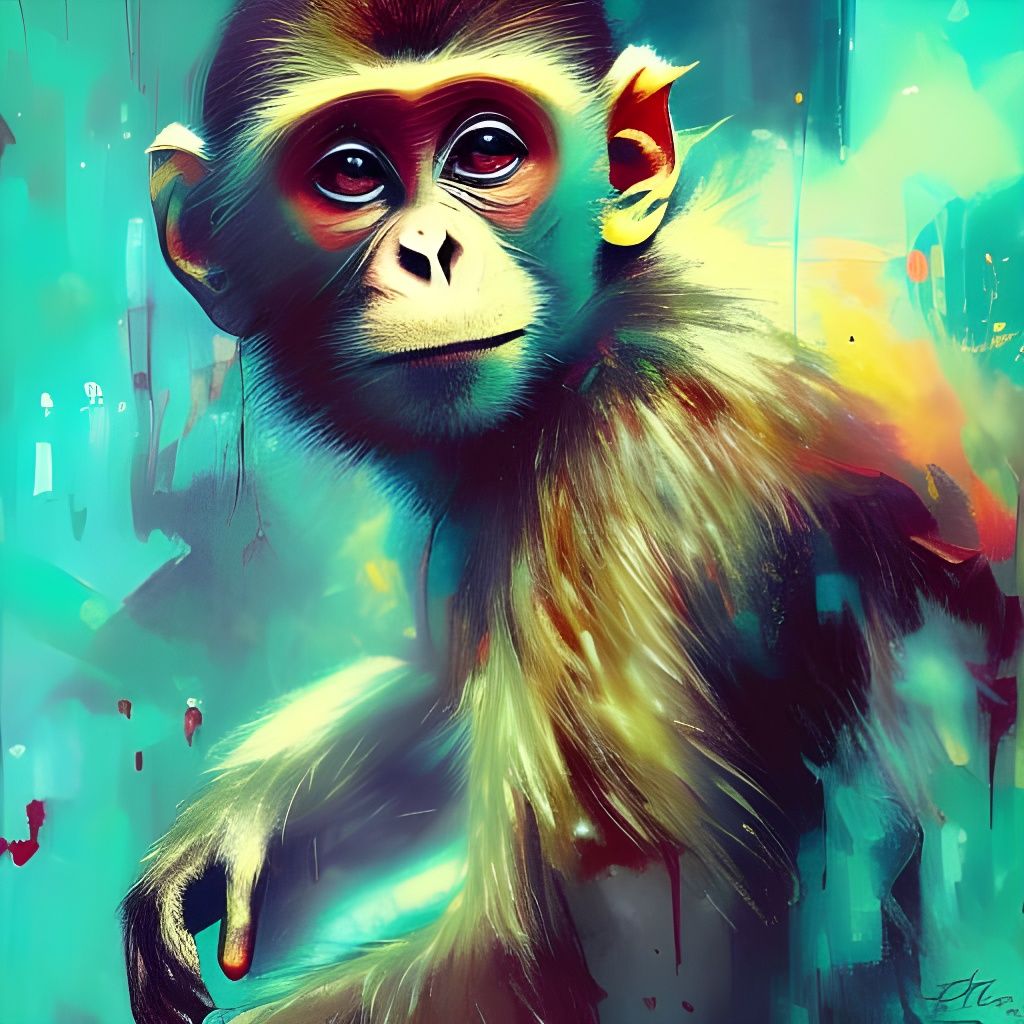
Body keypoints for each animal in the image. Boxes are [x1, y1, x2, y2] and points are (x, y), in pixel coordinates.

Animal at [121, 2, 1019, 1022]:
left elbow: (641, 967)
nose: (430, 254)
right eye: (350, 171)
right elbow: (445, 667)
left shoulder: (626, 491)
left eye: (487, 151)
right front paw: (232, 822)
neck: (604, 326)